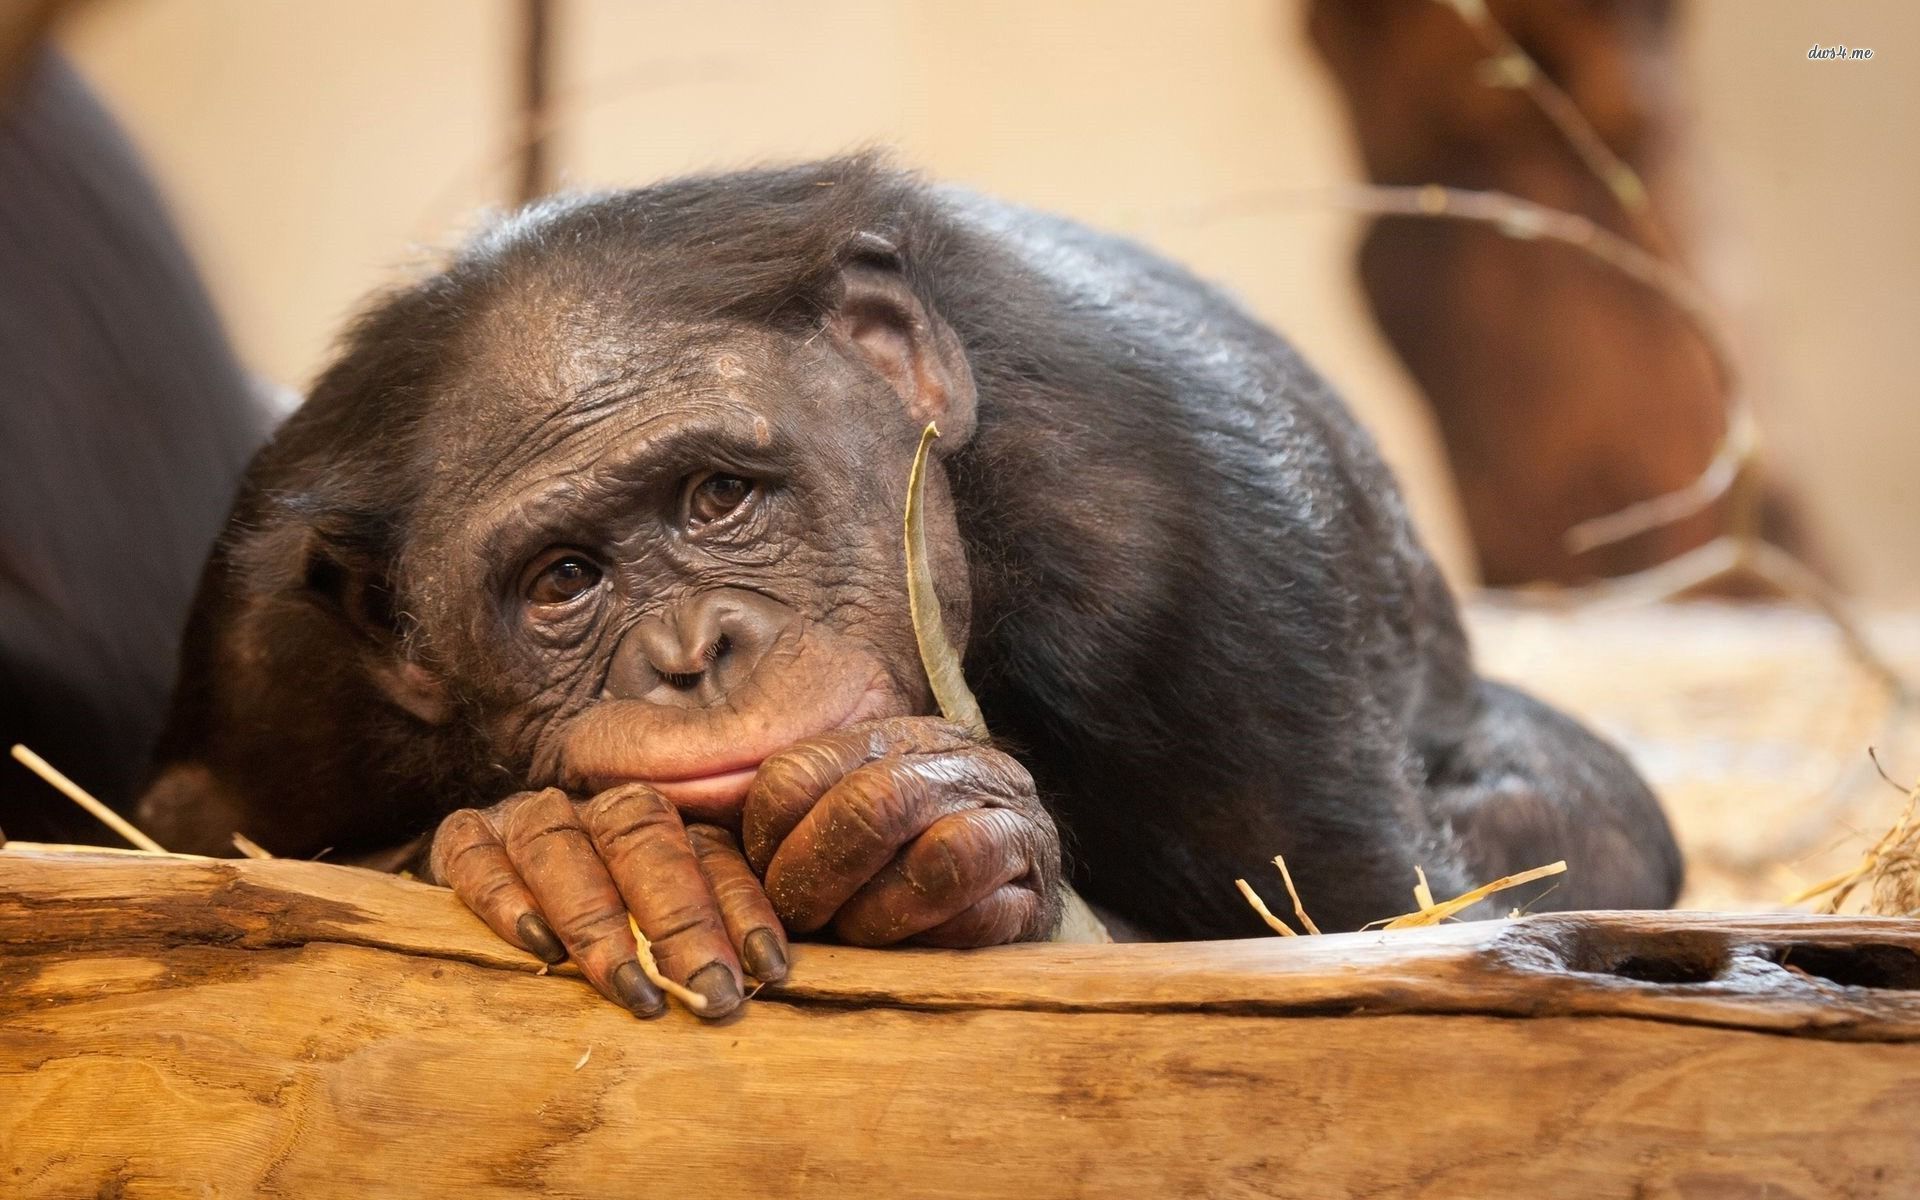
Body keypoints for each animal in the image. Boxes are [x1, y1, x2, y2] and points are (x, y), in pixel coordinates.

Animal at [137, 155, 1683, 1020]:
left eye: (718, 498)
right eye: (564, 579)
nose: (692, 649)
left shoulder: (1205, 553)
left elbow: (1378, 926)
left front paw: (934, 820)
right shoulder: (271, 670)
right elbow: (195, 850)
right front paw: (564, 849)